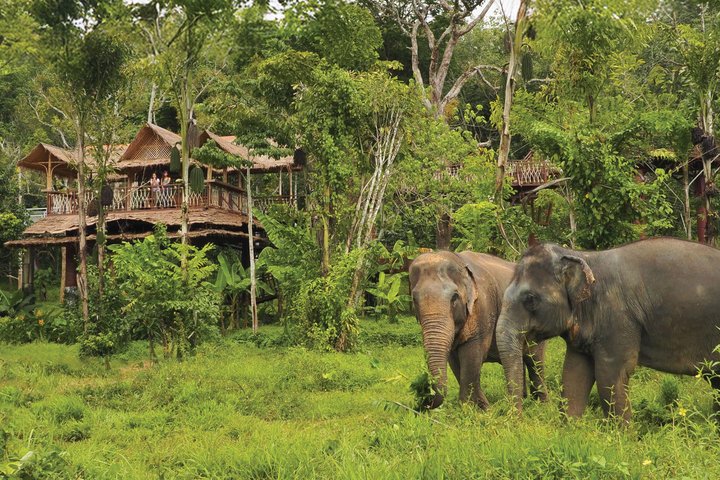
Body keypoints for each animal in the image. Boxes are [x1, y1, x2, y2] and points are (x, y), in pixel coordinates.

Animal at [409, 250, 547, 409]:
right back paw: (524, 399)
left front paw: (475, 409)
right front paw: (479, 407)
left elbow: (473, 354)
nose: (423, 400)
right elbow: (454, 361)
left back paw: (542, 405)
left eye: (454, 297)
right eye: (414, 299)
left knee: (535, 360)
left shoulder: (483, 307)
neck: (458, 259)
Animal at [496, 238, 720, 423]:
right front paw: (568, 431)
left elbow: (610, 374)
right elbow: (573, 374)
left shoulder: (617, 318)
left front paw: (623, 439)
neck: (582, 256)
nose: (520, 421)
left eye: (530, 299)